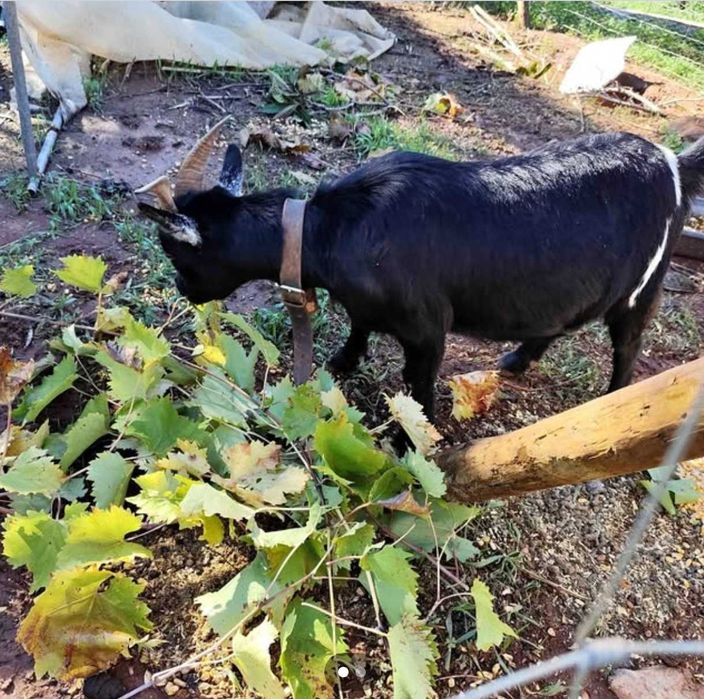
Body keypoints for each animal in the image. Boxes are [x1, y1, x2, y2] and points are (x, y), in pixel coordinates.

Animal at [137, 124, 704, 422]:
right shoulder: (367, 304)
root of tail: (674, 164)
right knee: (561, 319)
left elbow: (419, 386)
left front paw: (413, 444)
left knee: (628, 342)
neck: (332, 227)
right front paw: (342, 362)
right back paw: (515, 360)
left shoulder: (428, 328)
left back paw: (612, 402)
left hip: (642, 286)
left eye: (177, 254)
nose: (182, 289)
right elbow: (359, 323)